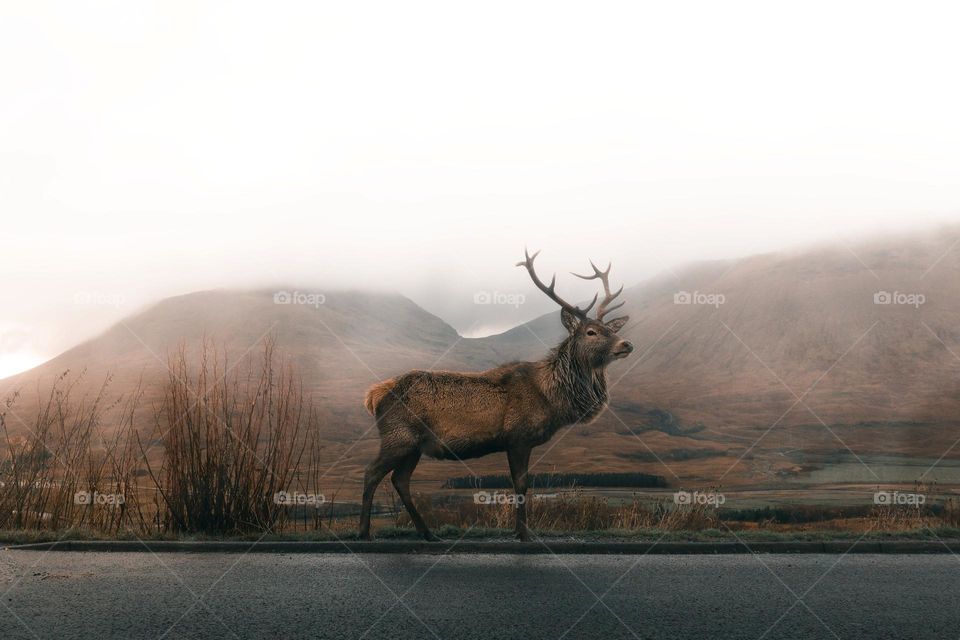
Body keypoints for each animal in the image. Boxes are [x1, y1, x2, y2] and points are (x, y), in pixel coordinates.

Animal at [358, 250, 634, 541]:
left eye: (612, 330)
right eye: (591, 332)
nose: (626, 344)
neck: (552, 399)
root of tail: (373, 396)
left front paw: (517, 530)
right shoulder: (518, 438)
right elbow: (521, 485)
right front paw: (524, 534)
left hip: (414, 446)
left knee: (400, 480)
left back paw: (428, 533)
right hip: (398, 437)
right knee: (372, 472)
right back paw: (364, 532)